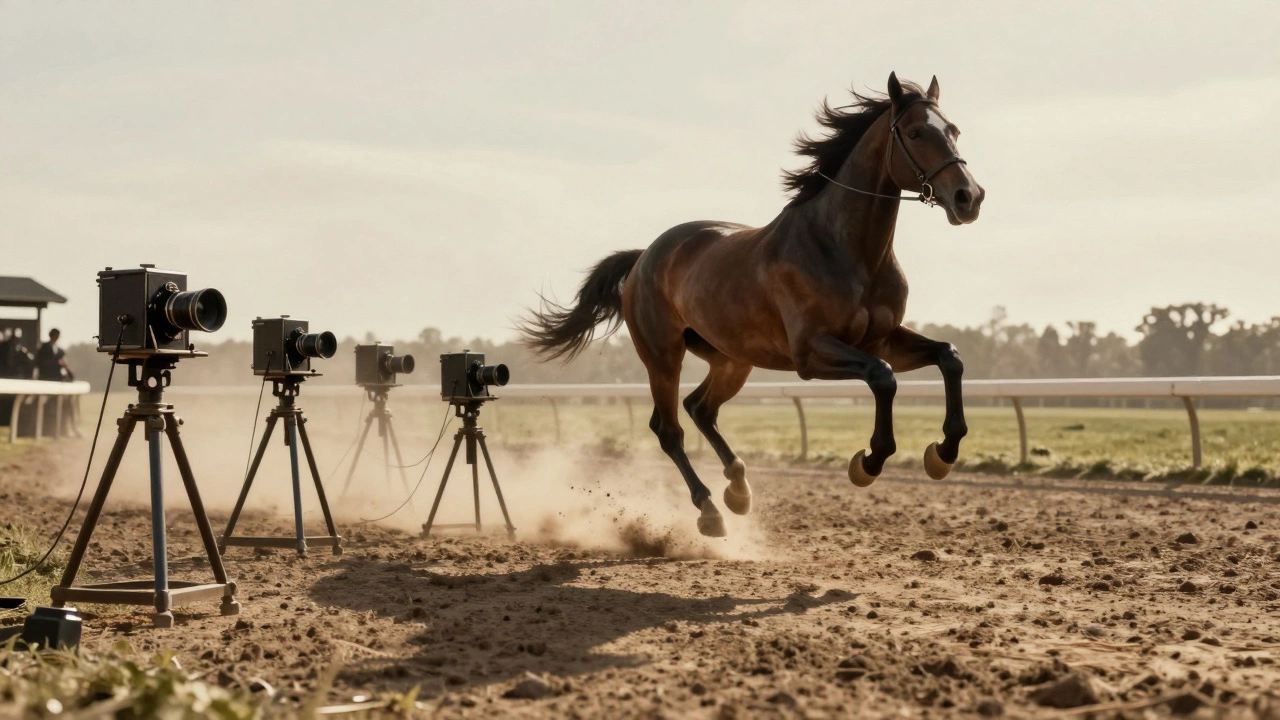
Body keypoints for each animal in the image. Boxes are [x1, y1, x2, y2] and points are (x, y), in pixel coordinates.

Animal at [520, 73, 984, 537]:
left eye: (954, 130)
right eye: (915, 132)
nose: (969, 197)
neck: (846, 250)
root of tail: (643, 258)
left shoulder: (882, 339)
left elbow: (949, 357)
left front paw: (942, 453)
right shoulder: (811, 353)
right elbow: (882, 377)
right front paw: (868, 462)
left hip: (732, 359)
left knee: (700, 408)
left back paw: (739, 489)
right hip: (663, 357)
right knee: (669, 429)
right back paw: (709, 510)